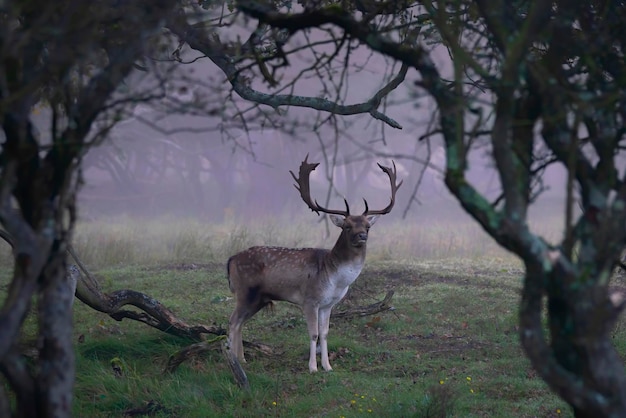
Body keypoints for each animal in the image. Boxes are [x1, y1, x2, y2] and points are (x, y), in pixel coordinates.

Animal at [224, 157, 400, 372]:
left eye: (367, 226)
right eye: (347, 226)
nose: (362, 236)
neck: (334, 278)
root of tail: (231, 260)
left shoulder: (328, 304)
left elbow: (324, 333)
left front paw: (328, 366)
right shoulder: (310, 300)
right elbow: (313, 333)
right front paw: (313, 368)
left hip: (259, 298)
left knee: (239, 322)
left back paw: (242, 359)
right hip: (245, 291)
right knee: (232, 321)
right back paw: (233, 360)